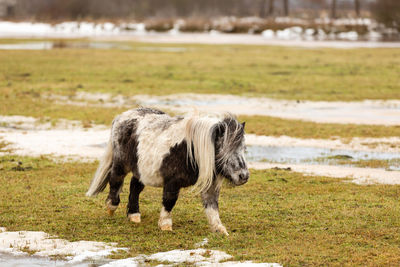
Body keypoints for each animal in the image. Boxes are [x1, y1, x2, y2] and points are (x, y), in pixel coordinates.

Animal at [87, 108, 248, 236]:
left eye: (243, 148)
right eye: (225, 149)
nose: (244, 176)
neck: (190, 150)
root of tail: (121, 117)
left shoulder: (210, 185)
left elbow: (212, 206)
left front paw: (219, 229)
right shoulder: (172, 182)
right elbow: (169, 201)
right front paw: (165, 225)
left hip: (141, 170)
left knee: (134, 188)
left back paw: (134, 215)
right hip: (121, 164)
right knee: (115, 181)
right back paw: (111, 208)